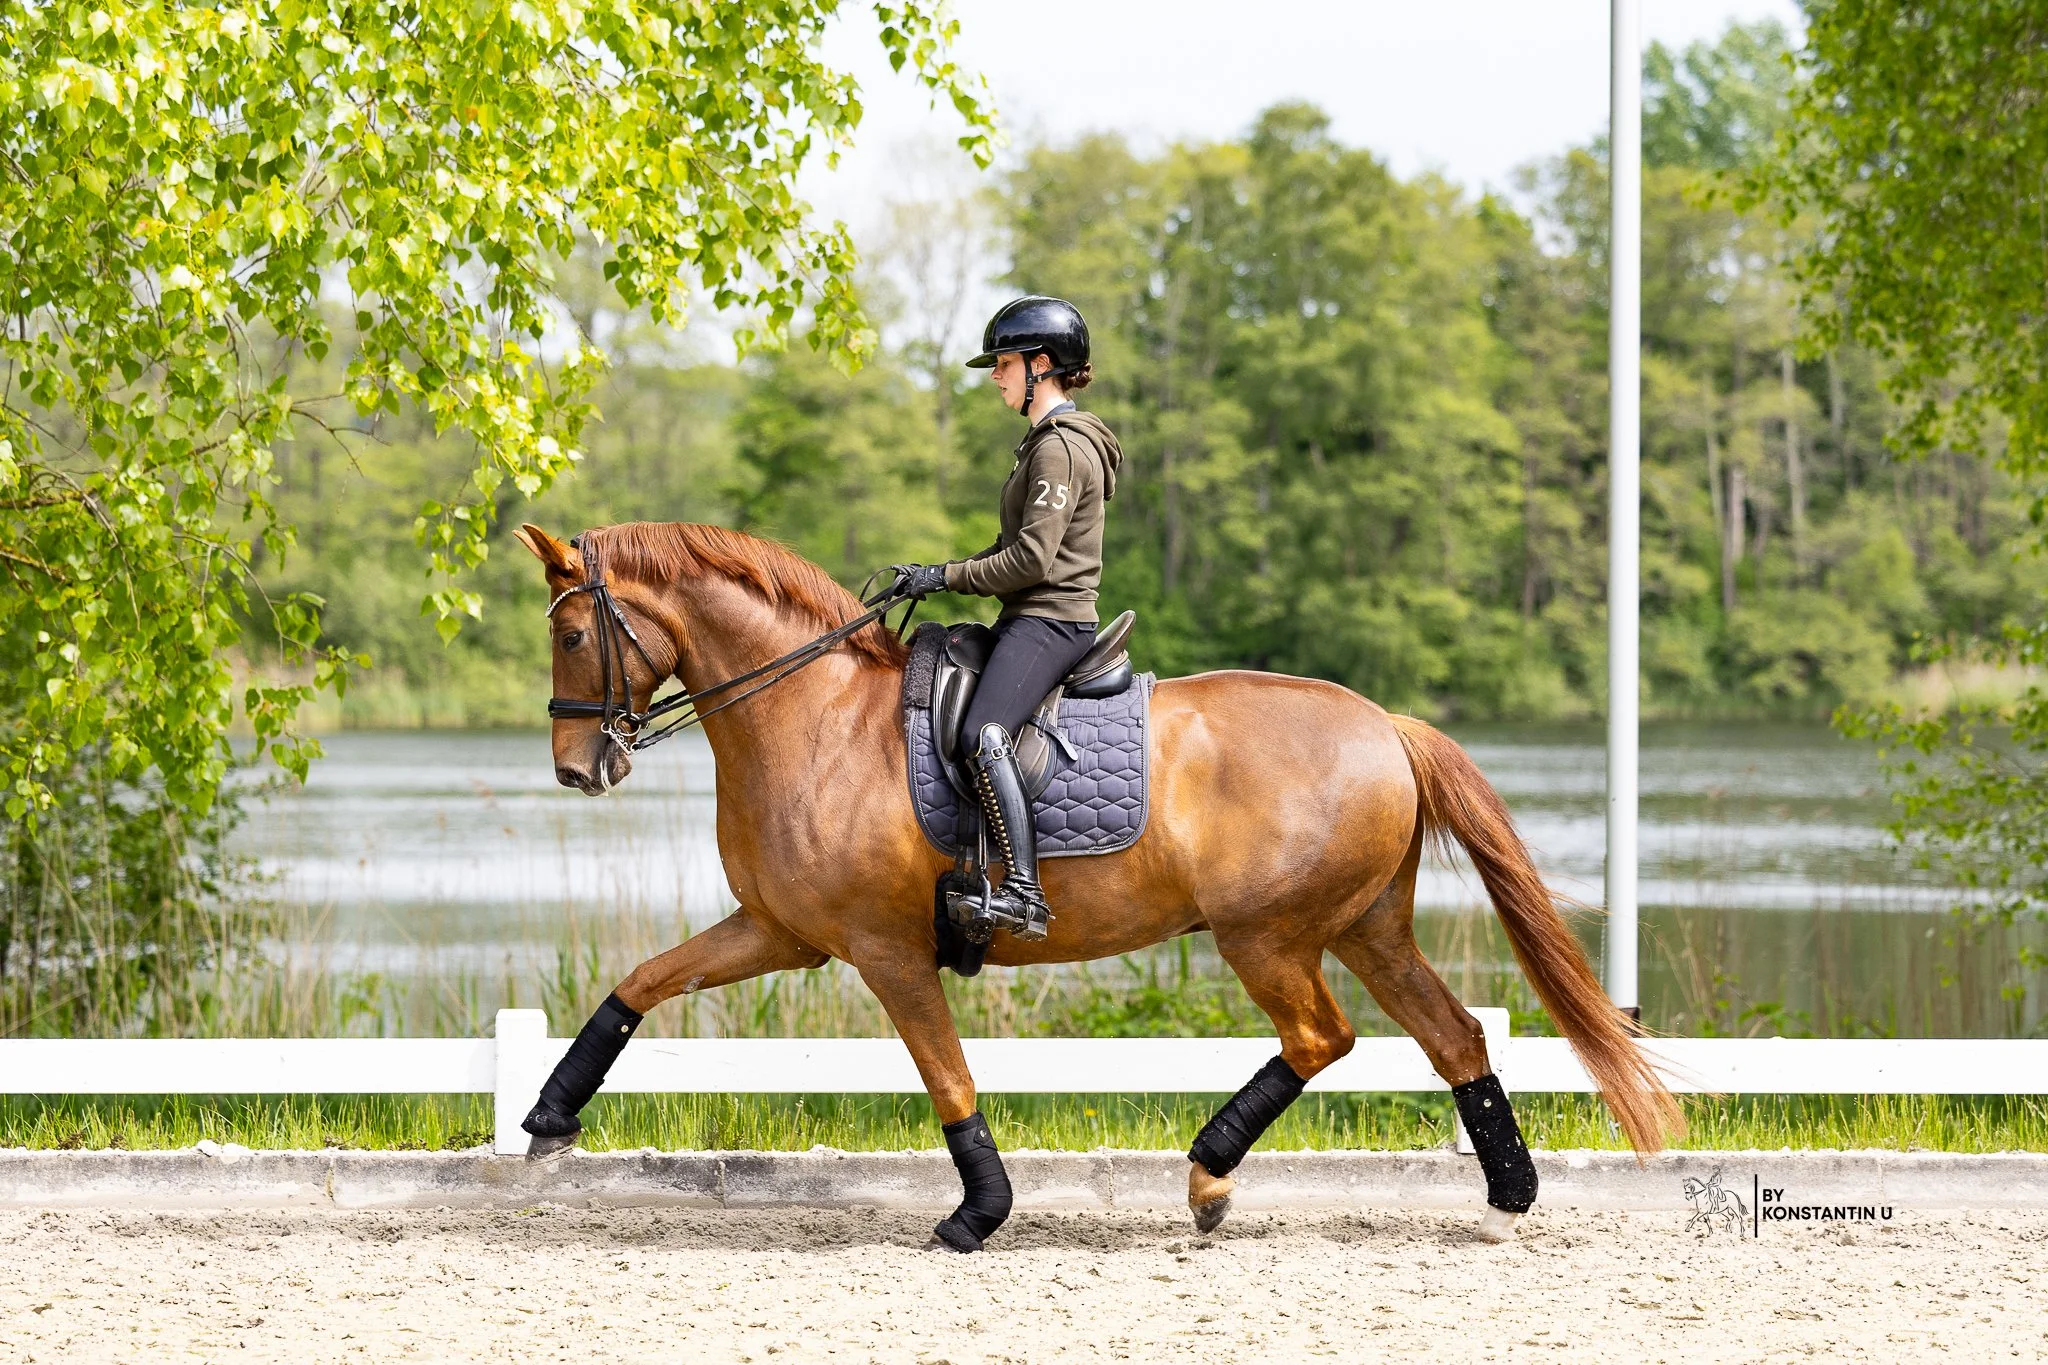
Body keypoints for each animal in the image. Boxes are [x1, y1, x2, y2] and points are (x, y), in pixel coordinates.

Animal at [513, 519, 1679, 1249]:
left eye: (570, 633)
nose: (578, 770)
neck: (813, 719)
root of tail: (1384, 725)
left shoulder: (885, 951)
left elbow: (947, 1079)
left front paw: (978, 1213)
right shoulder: (780, 931)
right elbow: (640, 983)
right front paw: (549, 1118)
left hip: (1269, 935)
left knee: (1323, 1038)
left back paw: (1208, 1175)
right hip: (1366, 928)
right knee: (1455, 1037)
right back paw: (1504, 1199)